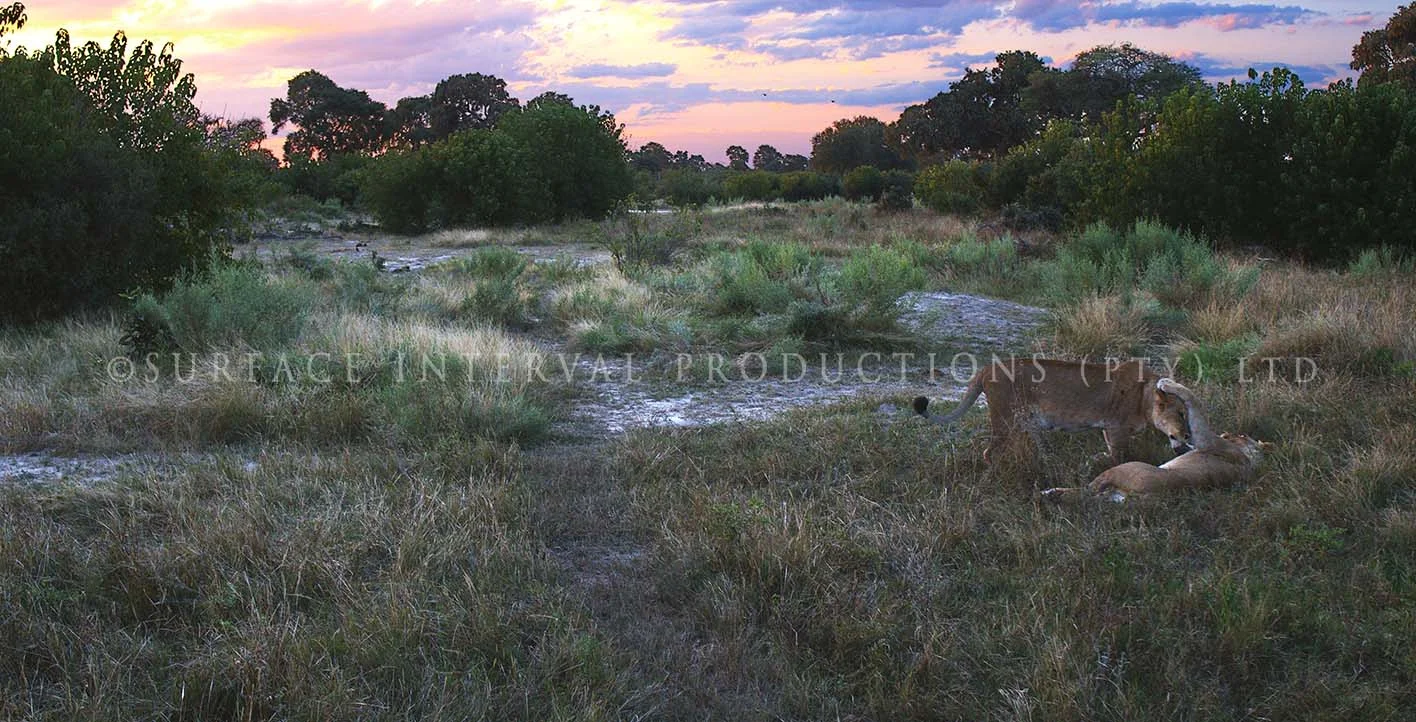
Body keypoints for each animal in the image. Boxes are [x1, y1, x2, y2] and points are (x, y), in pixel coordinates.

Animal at [912, 358, 1191, 464]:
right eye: (1181, 413)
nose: (1188, 435)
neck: (1145, 399)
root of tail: (987, 368)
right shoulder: (1116, 427)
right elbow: (1120, 457)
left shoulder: (1108, 429)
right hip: (1004, 418)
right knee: (988, 452)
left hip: (1027, 421)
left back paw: (1048, 461)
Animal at [1041, 378, 1272, 501]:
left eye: (1239, 435)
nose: (1226, 433)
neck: (1248, 459)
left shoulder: (1207, 440)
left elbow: (1194, 402)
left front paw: (1167, 384)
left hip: (1122, 469)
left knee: (1084, 491)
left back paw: (1049, 492)